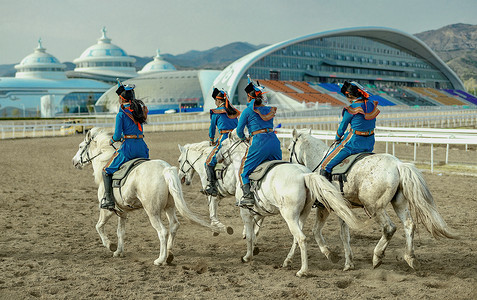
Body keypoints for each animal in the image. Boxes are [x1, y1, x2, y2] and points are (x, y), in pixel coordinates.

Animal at [71, 126, 220, 264]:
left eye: (80, 146)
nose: (74, 162)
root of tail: (165, 169)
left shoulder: (107, 211)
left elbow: (99, 226)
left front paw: (110, 245)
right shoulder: (122, 212)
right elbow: (120, 232)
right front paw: (119, 251)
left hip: (152, 212)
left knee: (162, 231)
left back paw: (160, 259)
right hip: (169, 207)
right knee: (174, 225)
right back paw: (169, 254)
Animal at [216, 131, 356, 276]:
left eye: (223, 144)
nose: (217, 157)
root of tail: (303, 176)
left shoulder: (245, 213)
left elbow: (250, 235)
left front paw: (247, 256)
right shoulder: (259, 212)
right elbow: (255, 232)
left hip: (289, 216)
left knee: (301, 238)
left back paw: (303, 270)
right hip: (301, 215)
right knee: (297, 238)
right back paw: (288, 261)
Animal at [286, 130, 458, 270]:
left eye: (289, 149)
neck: (318, 160)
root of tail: (398, 165)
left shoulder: (324, 208)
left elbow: (314, 231)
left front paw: (330, 254)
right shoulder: (342, 210)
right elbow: (344, 235)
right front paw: (349, 263)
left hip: (374, 207)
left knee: (389, 228)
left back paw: (377, 256)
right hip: (399, 203)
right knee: (409, 225)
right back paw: (410, 258)